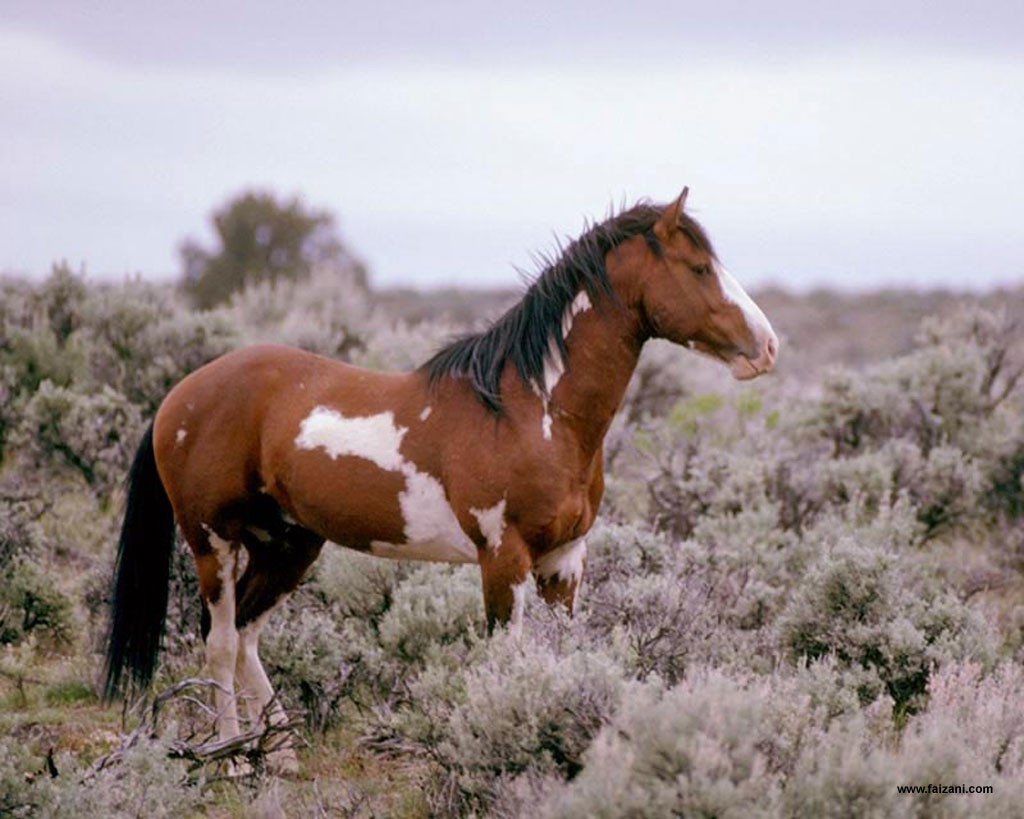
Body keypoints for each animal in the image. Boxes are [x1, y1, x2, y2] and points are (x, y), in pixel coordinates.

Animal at [103, 188, 774, 765]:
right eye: (698, 268)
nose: (766, 346)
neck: (532, 410)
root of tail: (180, 394)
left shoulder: (565, 561)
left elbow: (562, 659)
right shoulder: (503, 559)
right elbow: (507, 663)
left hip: (288, 544)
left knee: (244, 634)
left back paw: (281, 753)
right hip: (212, 540)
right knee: (218, 642)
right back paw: (233, 755)